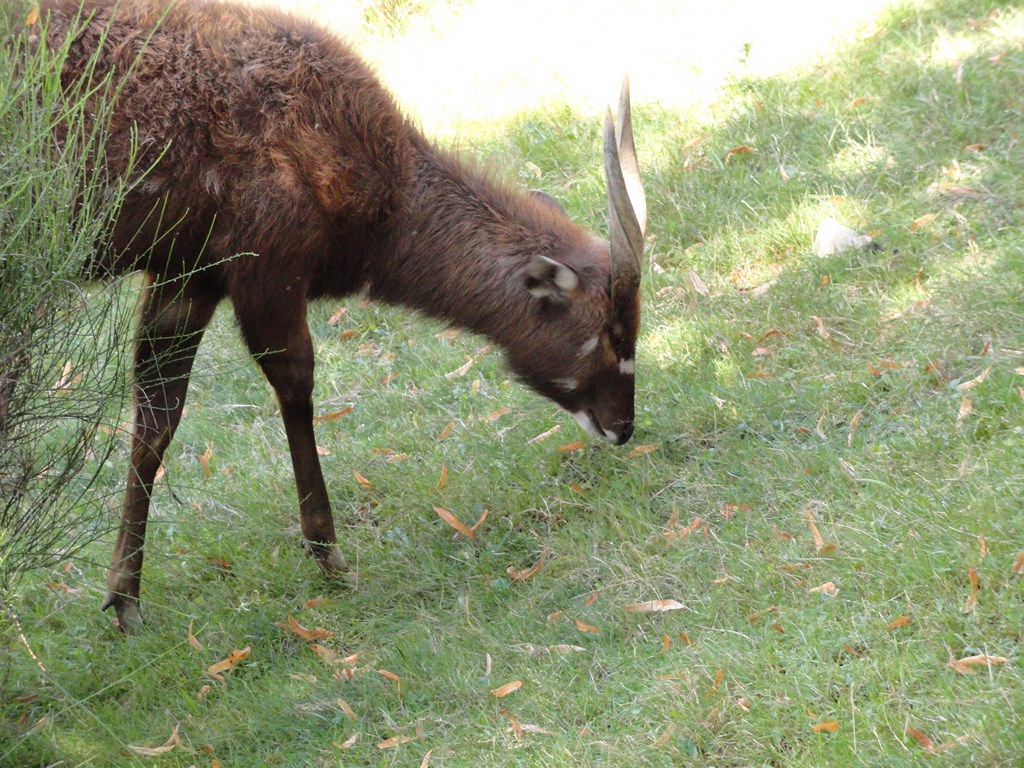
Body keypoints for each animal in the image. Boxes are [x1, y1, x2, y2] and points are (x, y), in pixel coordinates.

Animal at [39, 0, 647, 633]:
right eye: (611, 331)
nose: (623, 426)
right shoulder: (266, 272)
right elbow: (296, 385)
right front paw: (330, 556)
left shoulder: (188, 275)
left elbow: (158, 416)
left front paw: (124, 600)